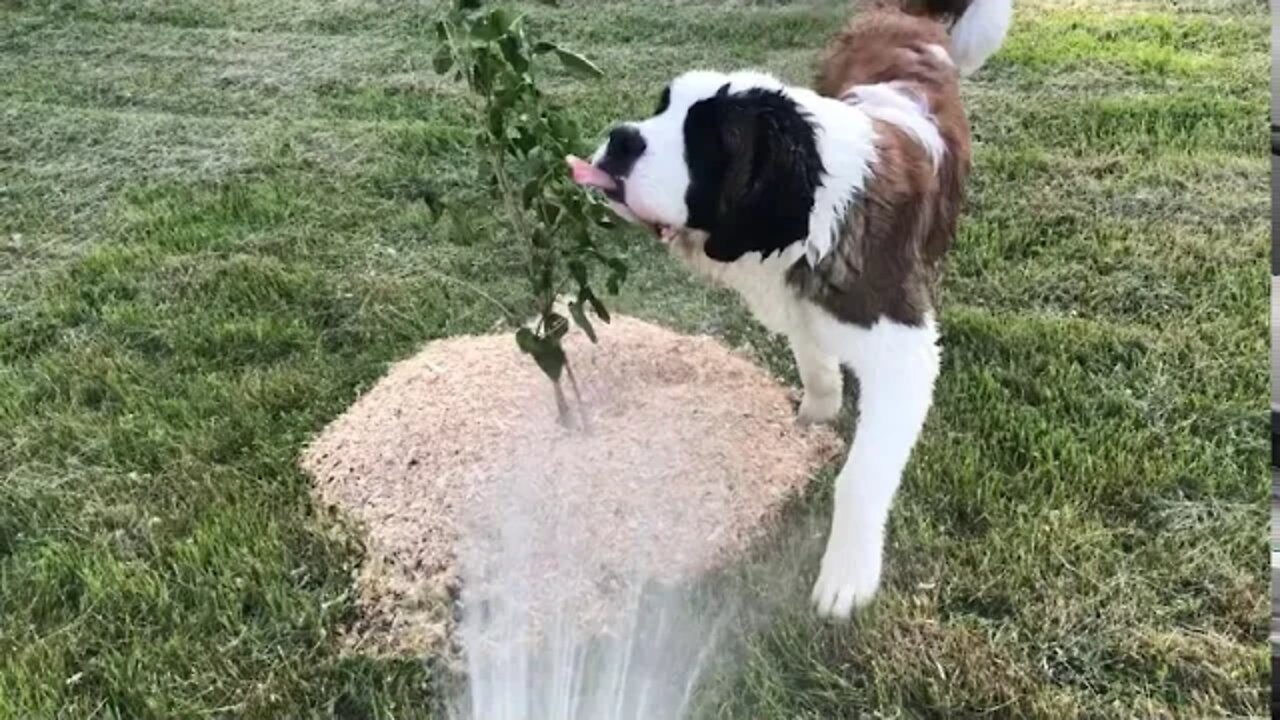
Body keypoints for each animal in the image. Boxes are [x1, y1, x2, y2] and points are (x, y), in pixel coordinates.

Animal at [570, 1, 1008, 617]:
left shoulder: (904, 352)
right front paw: (812, 420)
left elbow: (862, 475)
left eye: (705, 141)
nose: (622, 139)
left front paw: (847, 576)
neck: (811, 215)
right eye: (663, 108)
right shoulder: (797, 303)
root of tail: (900, 16)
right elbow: (816, 367)